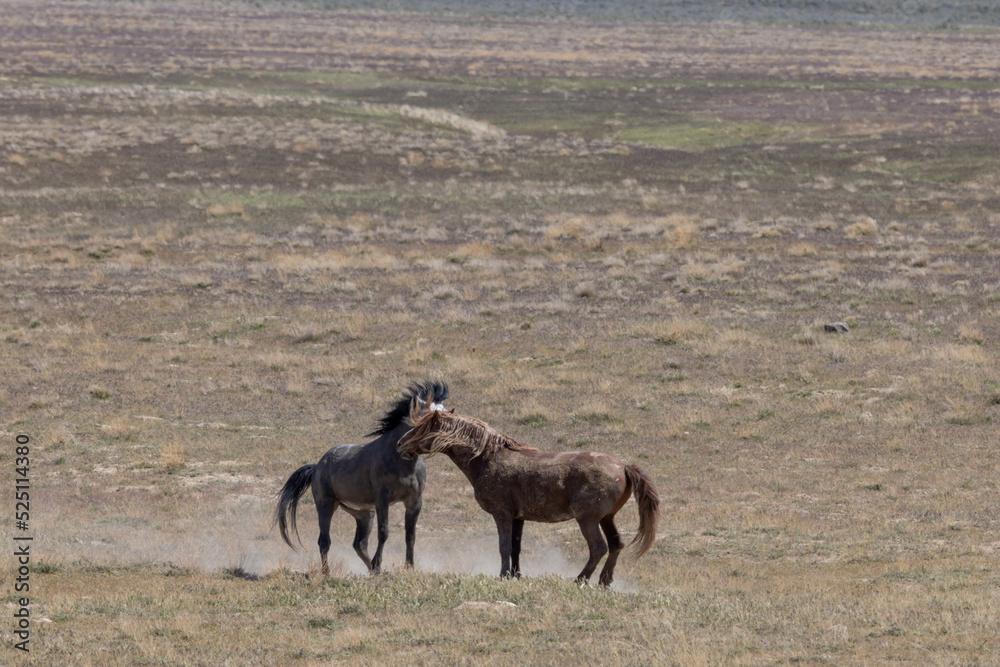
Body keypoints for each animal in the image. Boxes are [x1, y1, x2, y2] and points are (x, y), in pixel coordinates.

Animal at [274, 381, 449, 575]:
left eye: (446, 412)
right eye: (427, 415)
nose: (446, 437)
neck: (401, 461)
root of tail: (317, 467)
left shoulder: (414, 501)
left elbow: (410, 535)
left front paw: (409, 567)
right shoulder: (382, 498)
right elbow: (384, 532)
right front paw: (379, 564)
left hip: (364, 514)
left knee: (359, 544)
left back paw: (373, 570)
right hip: (326, 505)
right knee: (324, 540)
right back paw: (328, 572)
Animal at [397, 399, 660, 587]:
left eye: (421, 427)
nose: (400, 444)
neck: (487, 458)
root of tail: (623, 465)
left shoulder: (502, 515)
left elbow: (503, 546)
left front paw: (503, 575)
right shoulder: (518, 518)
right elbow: (515, 547)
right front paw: (516, 575)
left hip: (587, 520)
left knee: (598, 548)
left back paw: (579, 580)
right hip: (606, 518)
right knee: (616, 545)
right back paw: (604, 582)